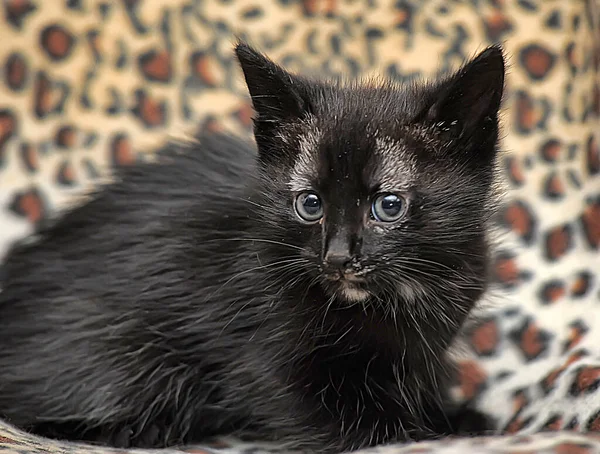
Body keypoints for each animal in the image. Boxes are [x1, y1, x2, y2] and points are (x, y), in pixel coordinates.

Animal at [0, 40, 504, 452]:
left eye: (389, 205)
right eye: (310, 204)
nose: (338, 257)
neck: (392, 297)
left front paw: (452, 415)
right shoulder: (265, 351)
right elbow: (344, 422)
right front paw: (414, 431)